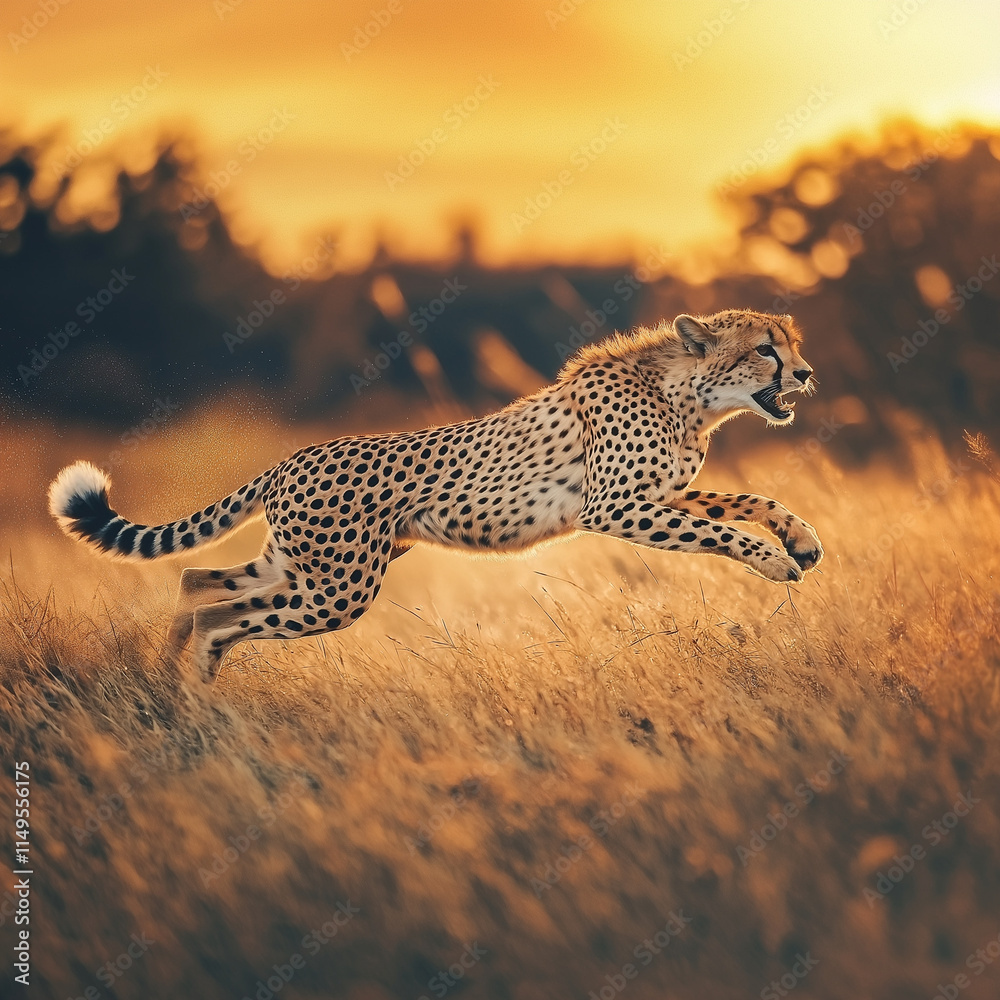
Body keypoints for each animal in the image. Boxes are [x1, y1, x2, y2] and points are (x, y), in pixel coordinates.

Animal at [49, 308, 823, 684]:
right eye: (765, 348)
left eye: (790, 343)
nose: (808, 373)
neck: (689, 396)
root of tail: (292, 457)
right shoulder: (616, 508)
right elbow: (723, 529)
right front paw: (775, 563)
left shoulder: (659, 497)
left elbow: (745, 501)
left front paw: (802, 540)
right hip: (339, 588)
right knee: (221, 618)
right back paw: (199, 697)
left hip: (304, 569)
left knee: (195, 580)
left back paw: (167, 682)